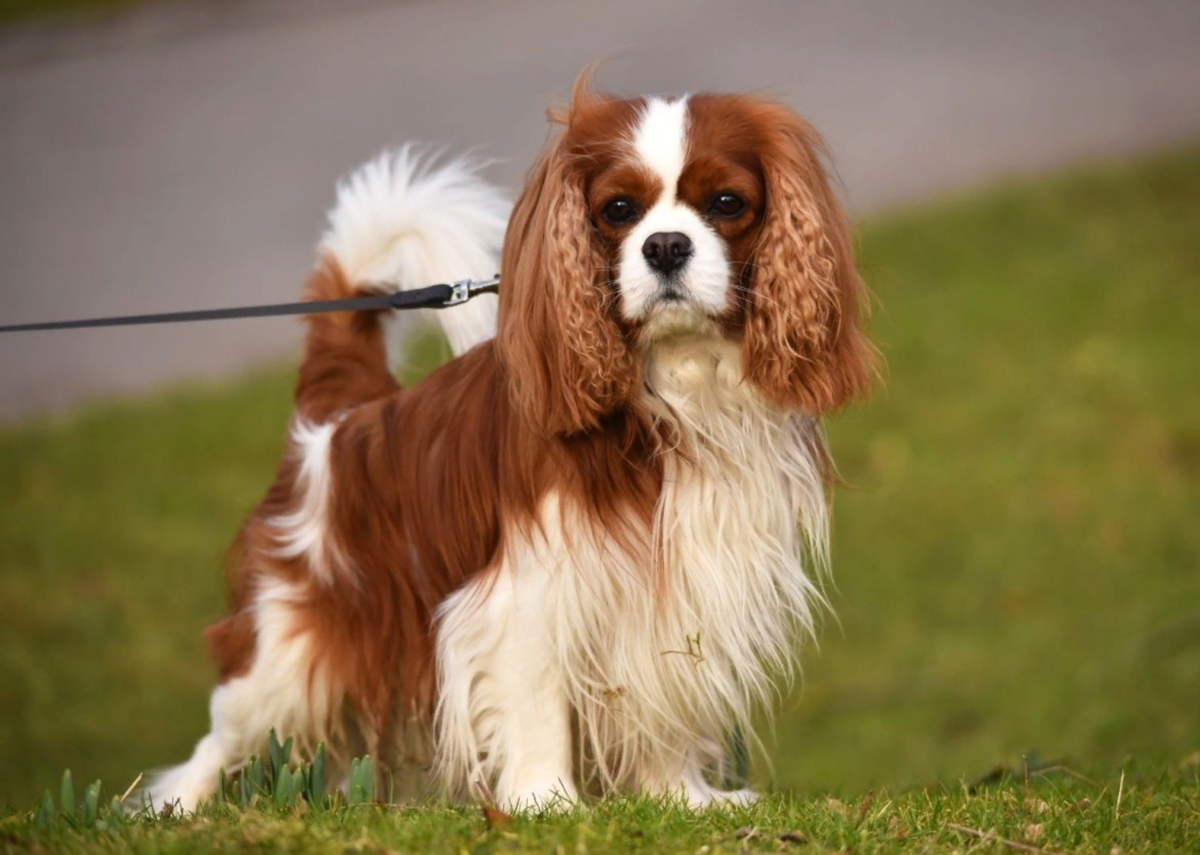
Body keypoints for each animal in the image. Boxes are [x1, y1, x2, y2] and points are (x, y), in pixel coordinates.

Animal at [147, 76, 873, 811]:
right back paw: (177, 807)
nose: (666, 245)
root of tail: (340, 420)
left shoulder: (684, 584)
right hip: (286, 652)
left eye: (727, 203)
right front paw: (547, 804)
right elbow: (536, 703)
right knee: (217, 742)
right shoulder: (527, 591)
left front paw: (679, 797)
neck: (677, 381)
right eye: (617, 210)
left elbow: (665, 699)